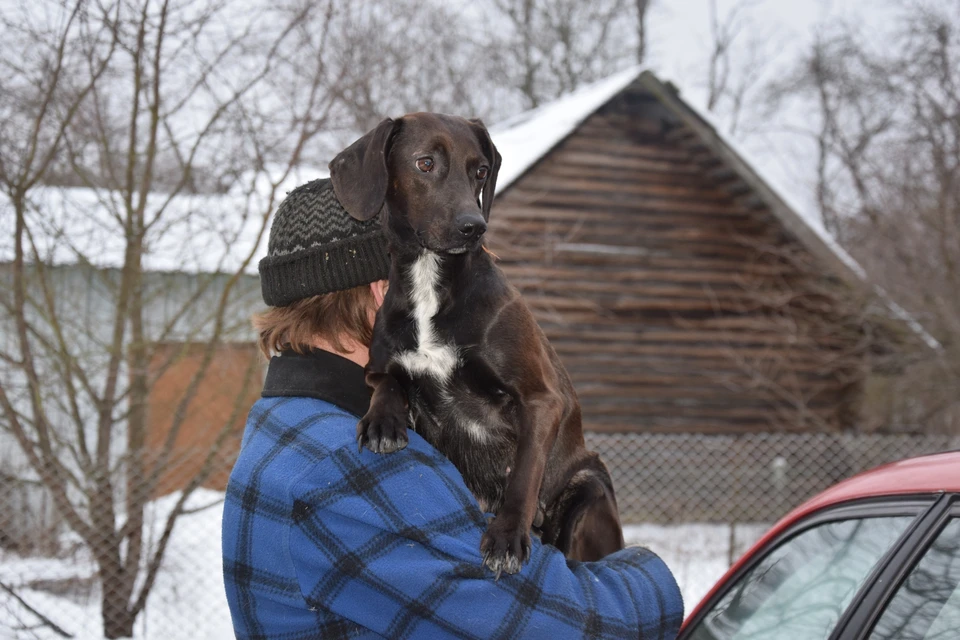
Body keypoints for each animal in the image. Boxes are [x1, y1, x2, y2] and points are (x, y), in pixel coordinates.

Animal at [330, 111, 632, 576]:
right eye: (425, 163)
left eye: (481, 171)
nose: (474, 227)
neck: (430, 283)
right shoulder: (380, 365)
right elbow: (387, 382)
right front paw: (383, 421)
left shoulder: (541, 399)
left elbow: (523, 474)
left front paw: (507, 536)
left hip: (588, 486)